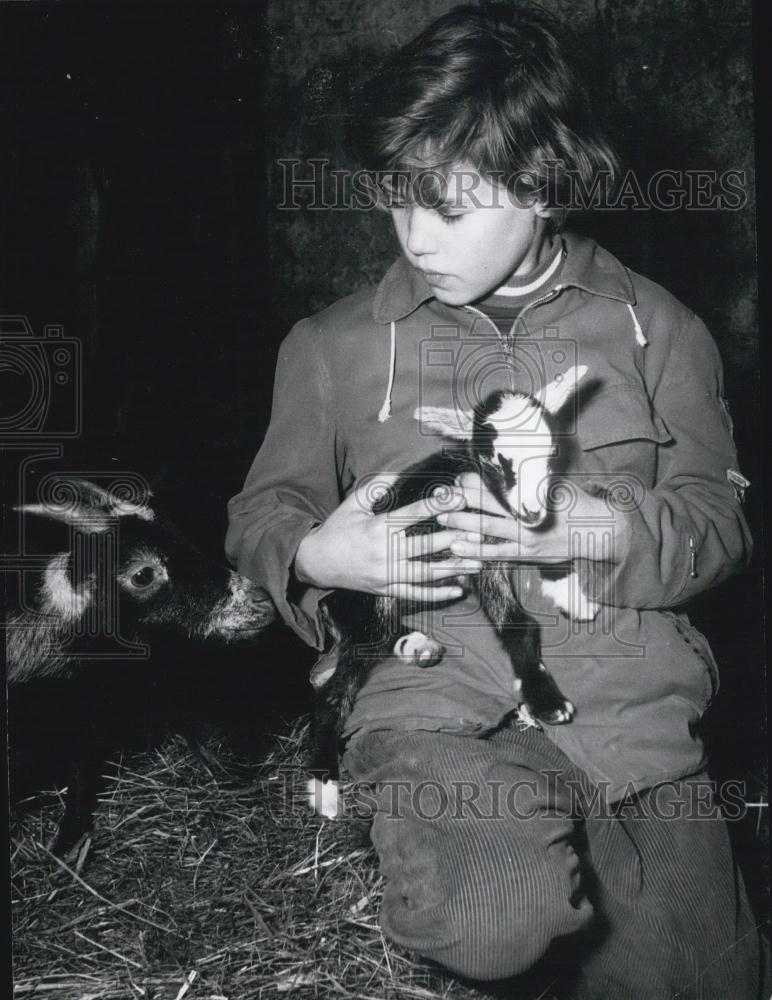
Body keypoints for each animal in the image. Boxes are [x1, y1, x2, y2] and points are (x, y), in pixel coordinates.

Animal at [308, 364, 596, 816]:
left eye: (550, 453)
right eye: (496, 460)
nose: (532, 511)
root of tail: (330, 601)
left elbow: (549, 548)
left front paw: (572, 595)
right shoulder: (475, 554)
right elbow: (517, 624)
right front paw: (546, 700)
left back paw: (417, 645)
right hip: (372, 598)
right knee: (335, 692)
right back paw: (324, 788)